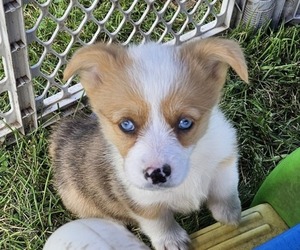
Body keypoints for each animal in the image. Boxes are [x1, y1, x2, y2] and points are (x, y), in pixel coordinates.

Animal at [50, 37, 248, 250]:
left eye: (185, 122)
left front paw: (231, 216)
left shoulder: (224, 161)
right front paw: (172, 242)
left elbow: (225, 191)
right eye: (126, 124)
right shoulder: (141, 200)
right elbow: (159, 221)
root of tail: (62, 133)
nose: (157, 174)